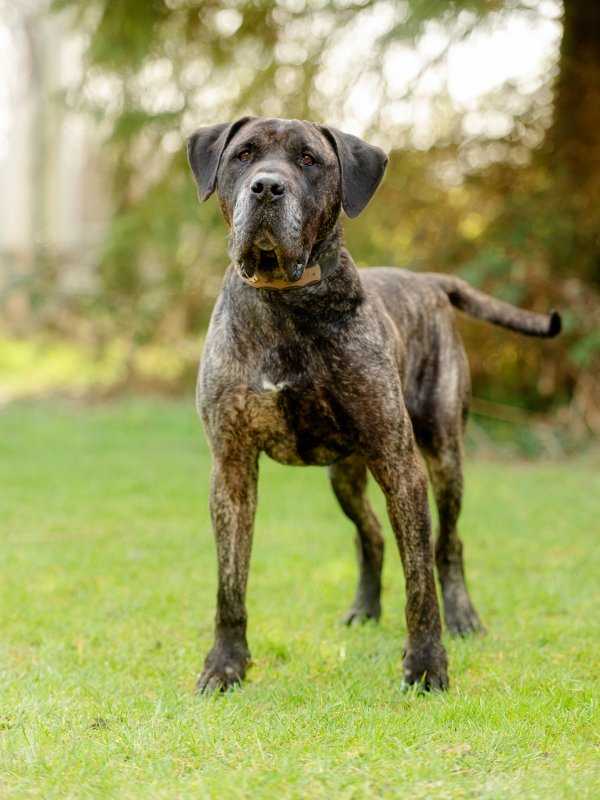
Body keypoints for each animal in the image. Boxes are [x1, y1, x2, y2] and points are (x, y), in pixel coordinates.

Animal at [187, 117, 560, 692]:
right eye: (243, 155)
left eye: (309, 160)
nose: (267, 187)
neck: (284, 299)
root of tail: (428, 280)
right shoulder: (231, 466)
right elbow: (231, 583)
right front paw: (226, 664)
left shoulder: (399, 462)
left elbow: (419, 580)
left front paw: (426, 664)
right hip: (344, 474)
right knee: (371, 536)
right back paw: (364, 609)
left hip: (444, 454)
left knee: (448, 545)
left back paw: (463, 617)